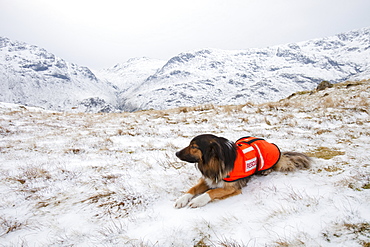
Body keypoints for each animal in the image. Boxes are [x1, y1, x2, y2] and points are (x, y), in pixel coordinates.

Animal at [175, 134, 310, 207]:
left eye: (193, 146)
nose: (176, 153)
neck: (216, 162)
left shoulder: (232, 188)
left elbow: (212, 192)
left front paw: (198, 200)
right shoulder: (209, 179)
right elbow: (193, 189)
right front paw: (181, 199)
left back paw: (266, 171)